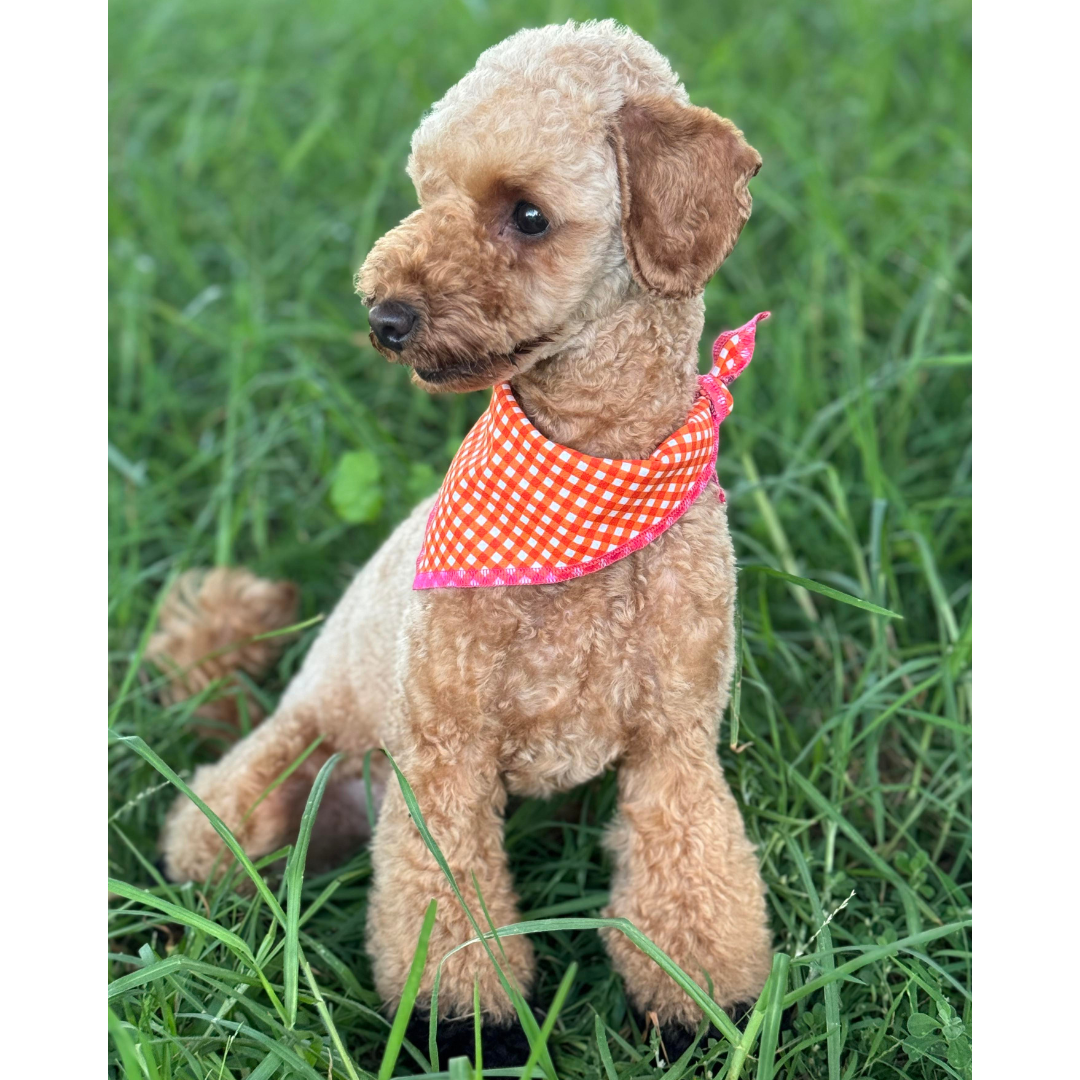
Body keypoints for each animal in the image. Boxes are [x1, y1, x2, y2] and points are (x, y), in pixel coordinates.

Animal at [156, 21, 773, 1058]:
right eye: (426, 192)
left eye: (526, 215)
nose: (384, 318)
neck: (585, 489)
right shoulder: (443, 761)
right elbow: (449, 917)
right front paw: (463, 1034)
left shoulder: (674, 744)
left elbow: (688, 887)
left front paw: (698, 1018)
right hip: (260, 792)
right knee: (204, 851)